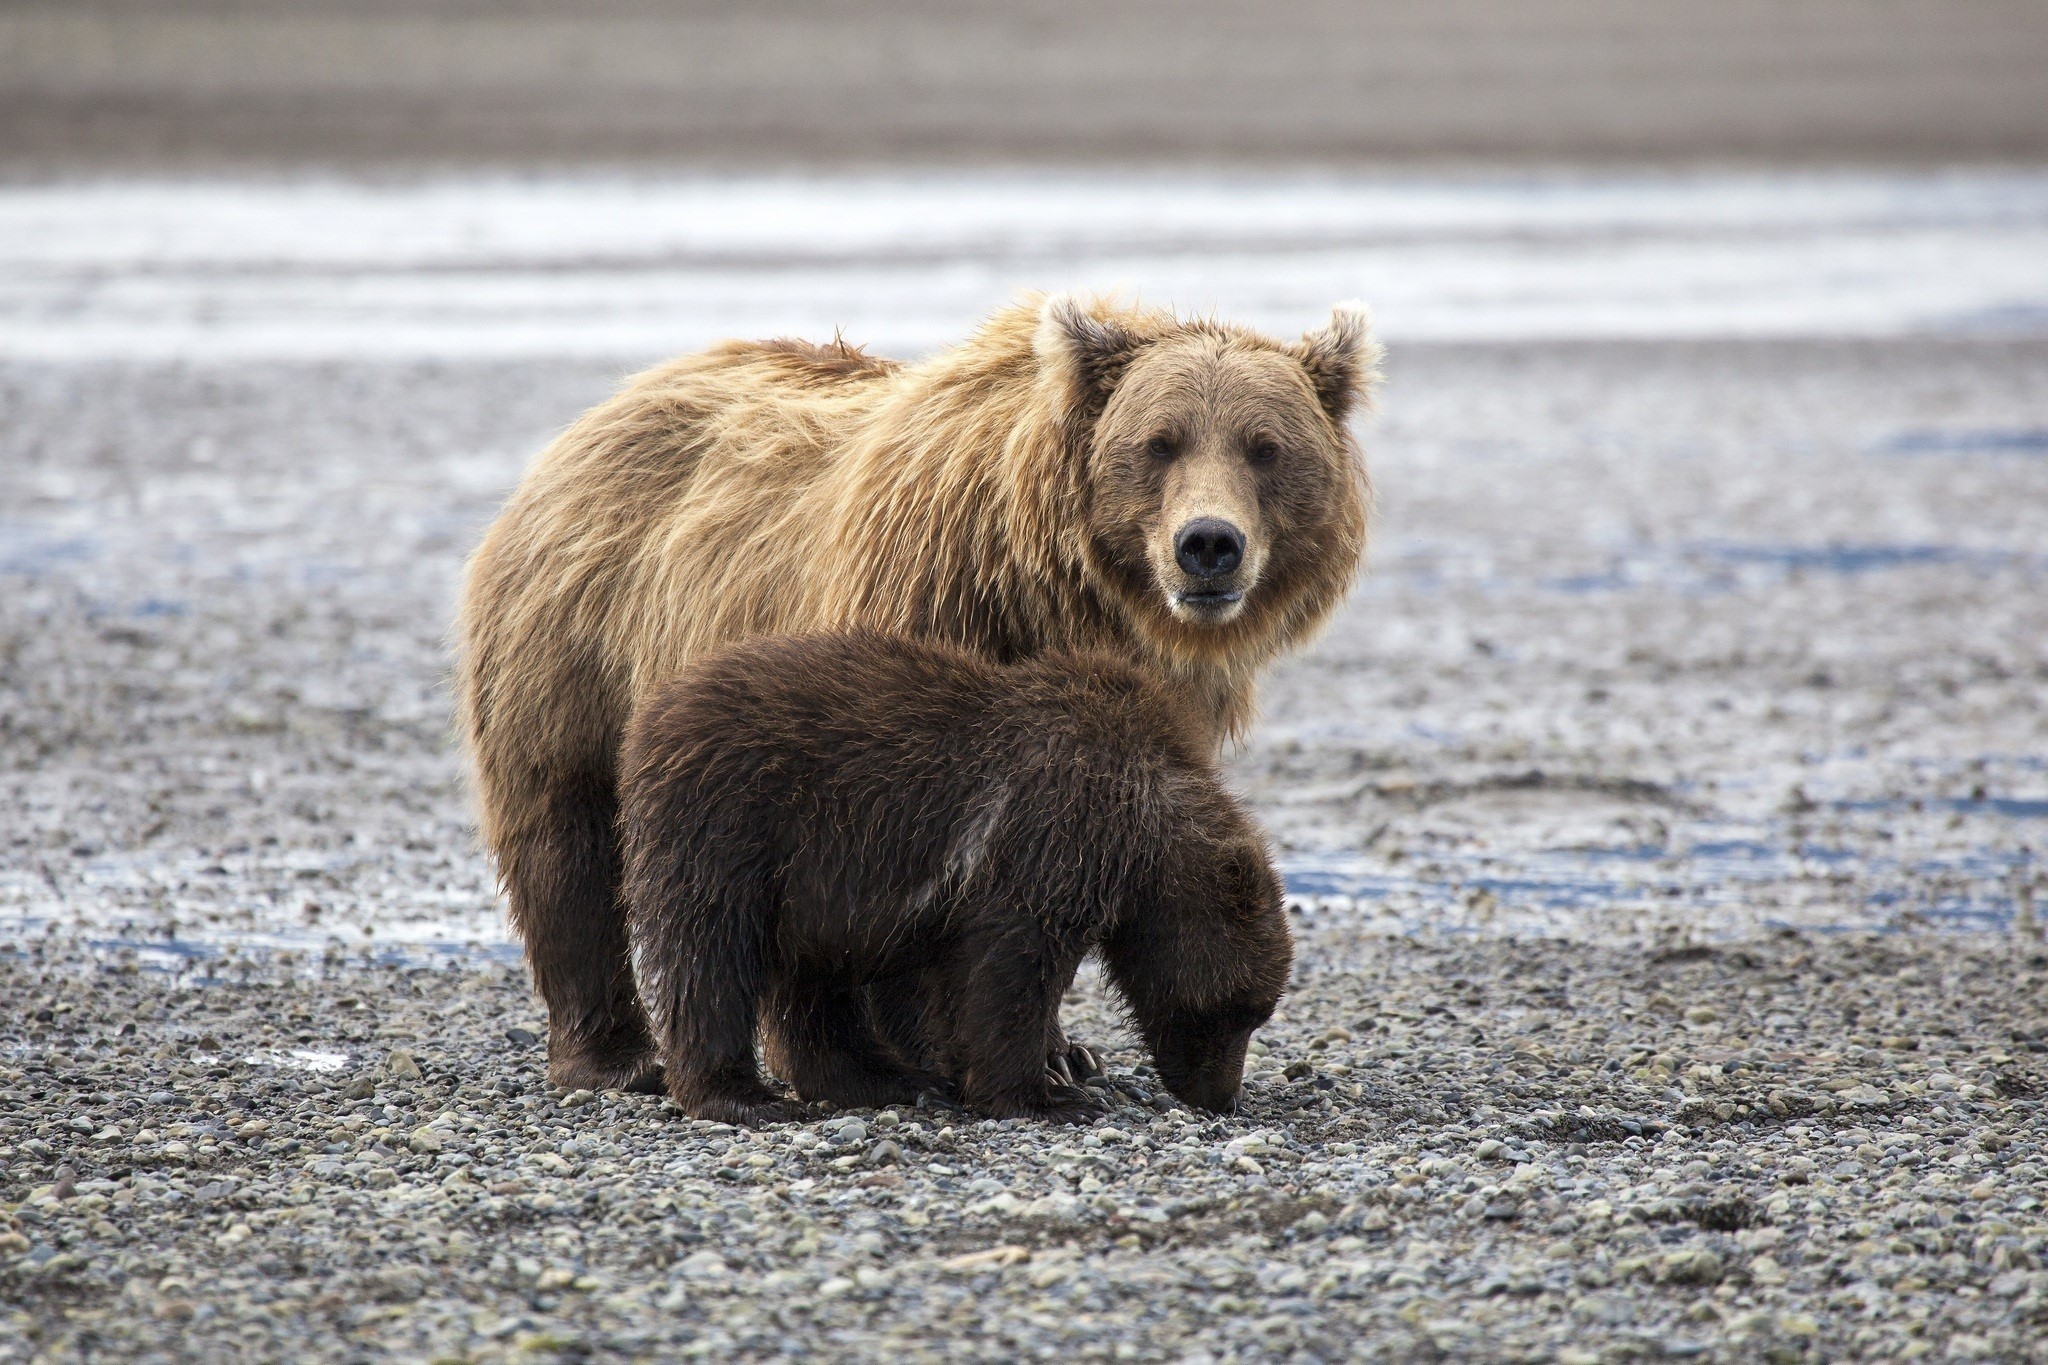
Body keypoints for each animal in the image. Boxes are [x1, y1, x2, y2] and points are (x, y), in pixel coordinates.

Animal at [617, 631, 1294, 1125]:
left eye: (1256, 1012)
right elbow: (1008, 970)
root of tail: (655, 711)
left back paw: (890, 1079)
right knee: (711, 955)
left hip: (803, 886)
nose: (1223, 1097)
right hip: (735, 821)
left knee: (812, 987)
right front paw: (1052, 1094)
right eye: (1233, 1010)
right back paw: (743, 1096)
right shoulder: (1049, 831)